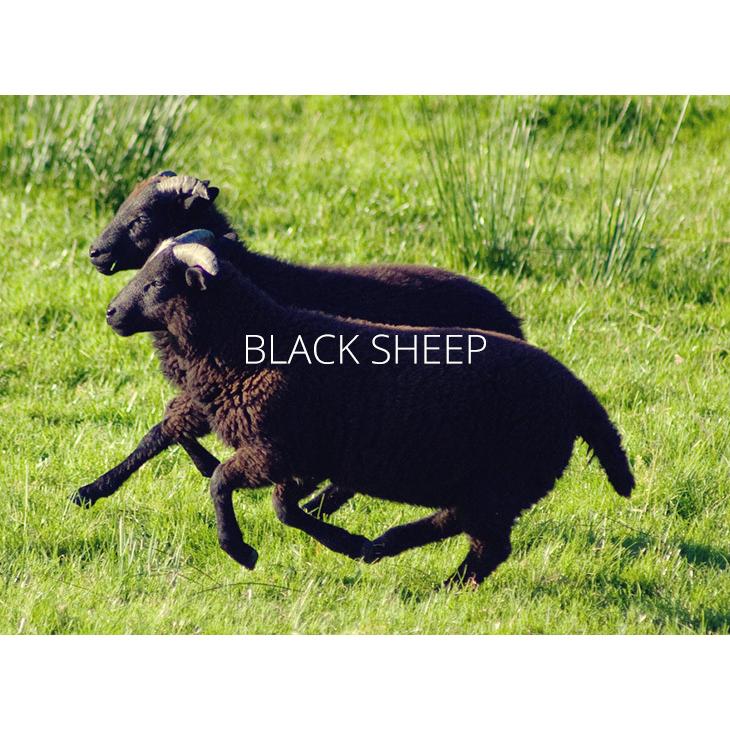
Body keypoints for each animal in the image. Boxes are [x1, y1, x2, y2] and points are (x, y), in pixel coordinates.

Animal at [78, 171, 525, 517]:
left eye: (141, 217)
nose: (95, 253)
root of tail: (511, 321)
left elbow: (163, 432)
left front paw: (92, 490)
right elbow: (164, 431)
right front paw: (98, 488)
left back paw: (317, 505)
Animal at [84, 230, 635, 586]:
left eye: (159, 284)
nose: (110, 313)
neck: (253, 340)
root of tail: (578, 393)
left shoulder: (274, 450)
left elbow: (223, 484)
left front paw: (240, 551)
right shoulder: (298, 456)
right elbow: (284, 508)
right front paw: (342, 542)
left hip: (504, 480)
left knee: (487, 545)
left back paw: (436, 582)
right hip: (493, 485)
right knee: (465, 529)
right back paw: (384, 547)